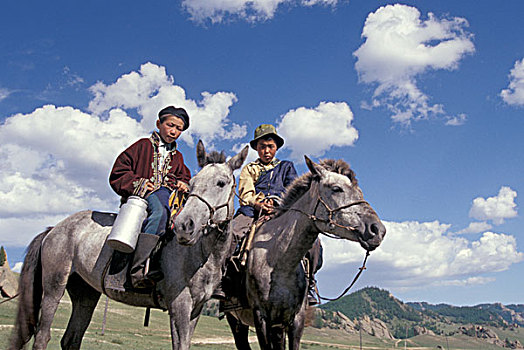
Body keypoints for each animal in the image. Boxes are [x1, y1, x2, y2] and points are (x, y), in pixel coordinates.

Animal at [9, 140, 248, 350]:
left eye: (221, 183)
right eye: (192, 184)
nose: (184, 226)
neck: (202, 254)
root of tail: (54, 229)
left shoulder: (195, 309)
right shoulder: (179, 305)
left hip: (85, 293)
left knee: (71, 339)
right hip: (53, 288)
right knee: (42, 336)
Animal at [223, 157, 386, 350]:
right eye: (336, 189)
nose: (378, 230)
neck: (279, 261)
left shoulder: (295, 320)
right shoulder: (260, 317)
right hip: (236, 320)